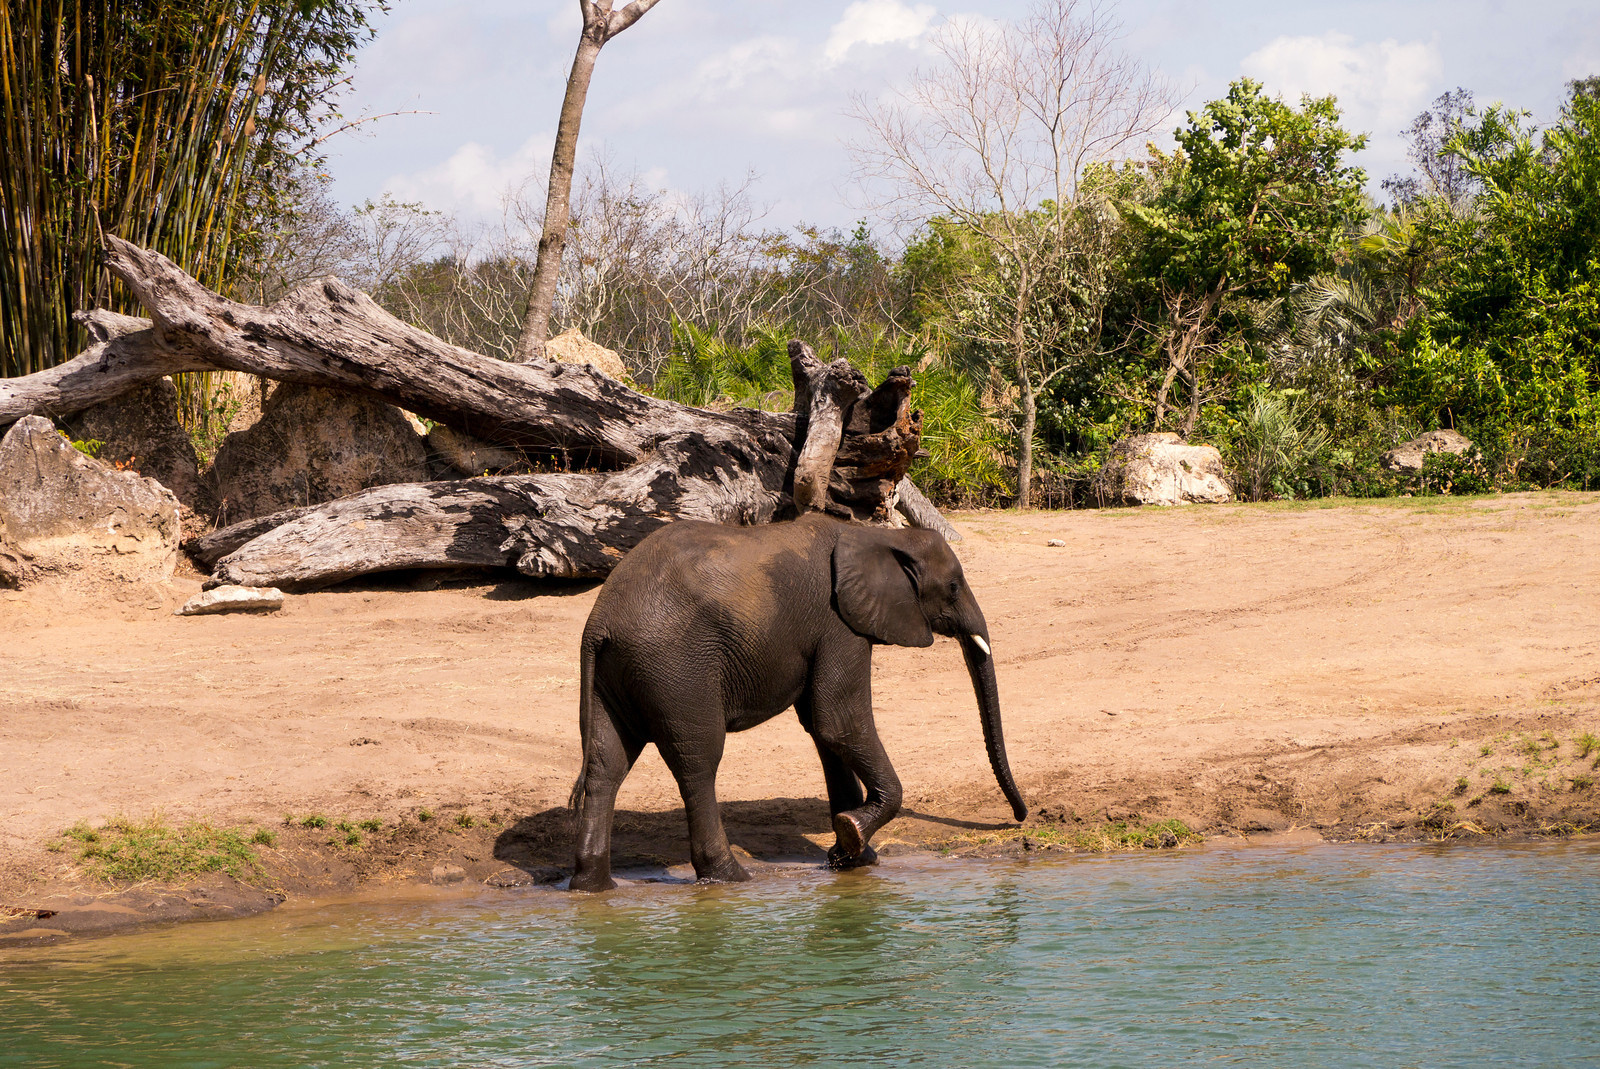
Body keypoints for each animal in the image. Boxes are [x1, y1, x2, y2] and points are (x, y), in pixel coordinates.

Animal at [569, 512, 1030, 889]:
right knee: (697, 760)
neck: (877, 535)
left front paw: (852, 858)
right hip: (677, 668)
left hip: (617, 675)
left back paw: (592, 887)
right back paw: (730, 877)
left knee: (606, 765)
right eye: (952, 586)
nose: (1019, 817)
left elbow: (825, 731)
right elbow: (839, 720)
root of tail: (598, 625)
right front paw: (850, 835)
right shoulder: (838, 624)